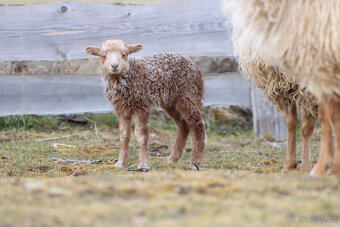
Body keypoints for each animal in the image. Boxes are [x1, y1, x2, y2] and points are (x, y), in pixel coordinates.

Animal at [84, 40, 207, 170]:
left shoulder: (142, 105)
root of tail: (195, 66)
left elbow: (140, 135)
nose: (115, 66)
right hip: (170, 101)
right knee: (183, 125)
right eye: (103, 56)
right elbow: (124, 135)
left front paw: (144, 164)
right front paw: (121, 162)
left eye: (124, 54)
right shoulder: (120, 108)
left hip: (189, 95)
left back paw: (195, 163)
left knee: (198, 125)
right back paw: (173, 159)